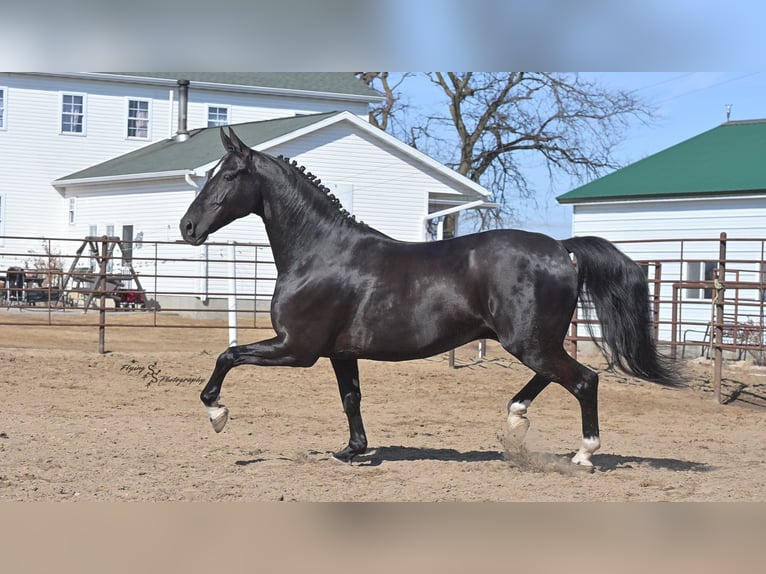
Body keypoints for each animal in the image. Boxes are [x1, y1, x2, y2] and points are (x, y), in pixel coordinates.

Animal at [179, 126, 681, 467]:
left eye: (229, 175)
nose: (187, 227)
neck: (320, 252)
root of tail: (561, 247)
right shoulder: (340, 353)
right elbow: (351, 398)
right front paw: (352, 450)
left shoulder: (296, 349)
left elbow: (228, 355)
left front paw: (217, 413)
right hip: (533, 341)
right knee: (554, 376)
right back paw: (516, 418)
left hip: (528, 342)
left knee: (583, 380)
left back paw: (583, 454)